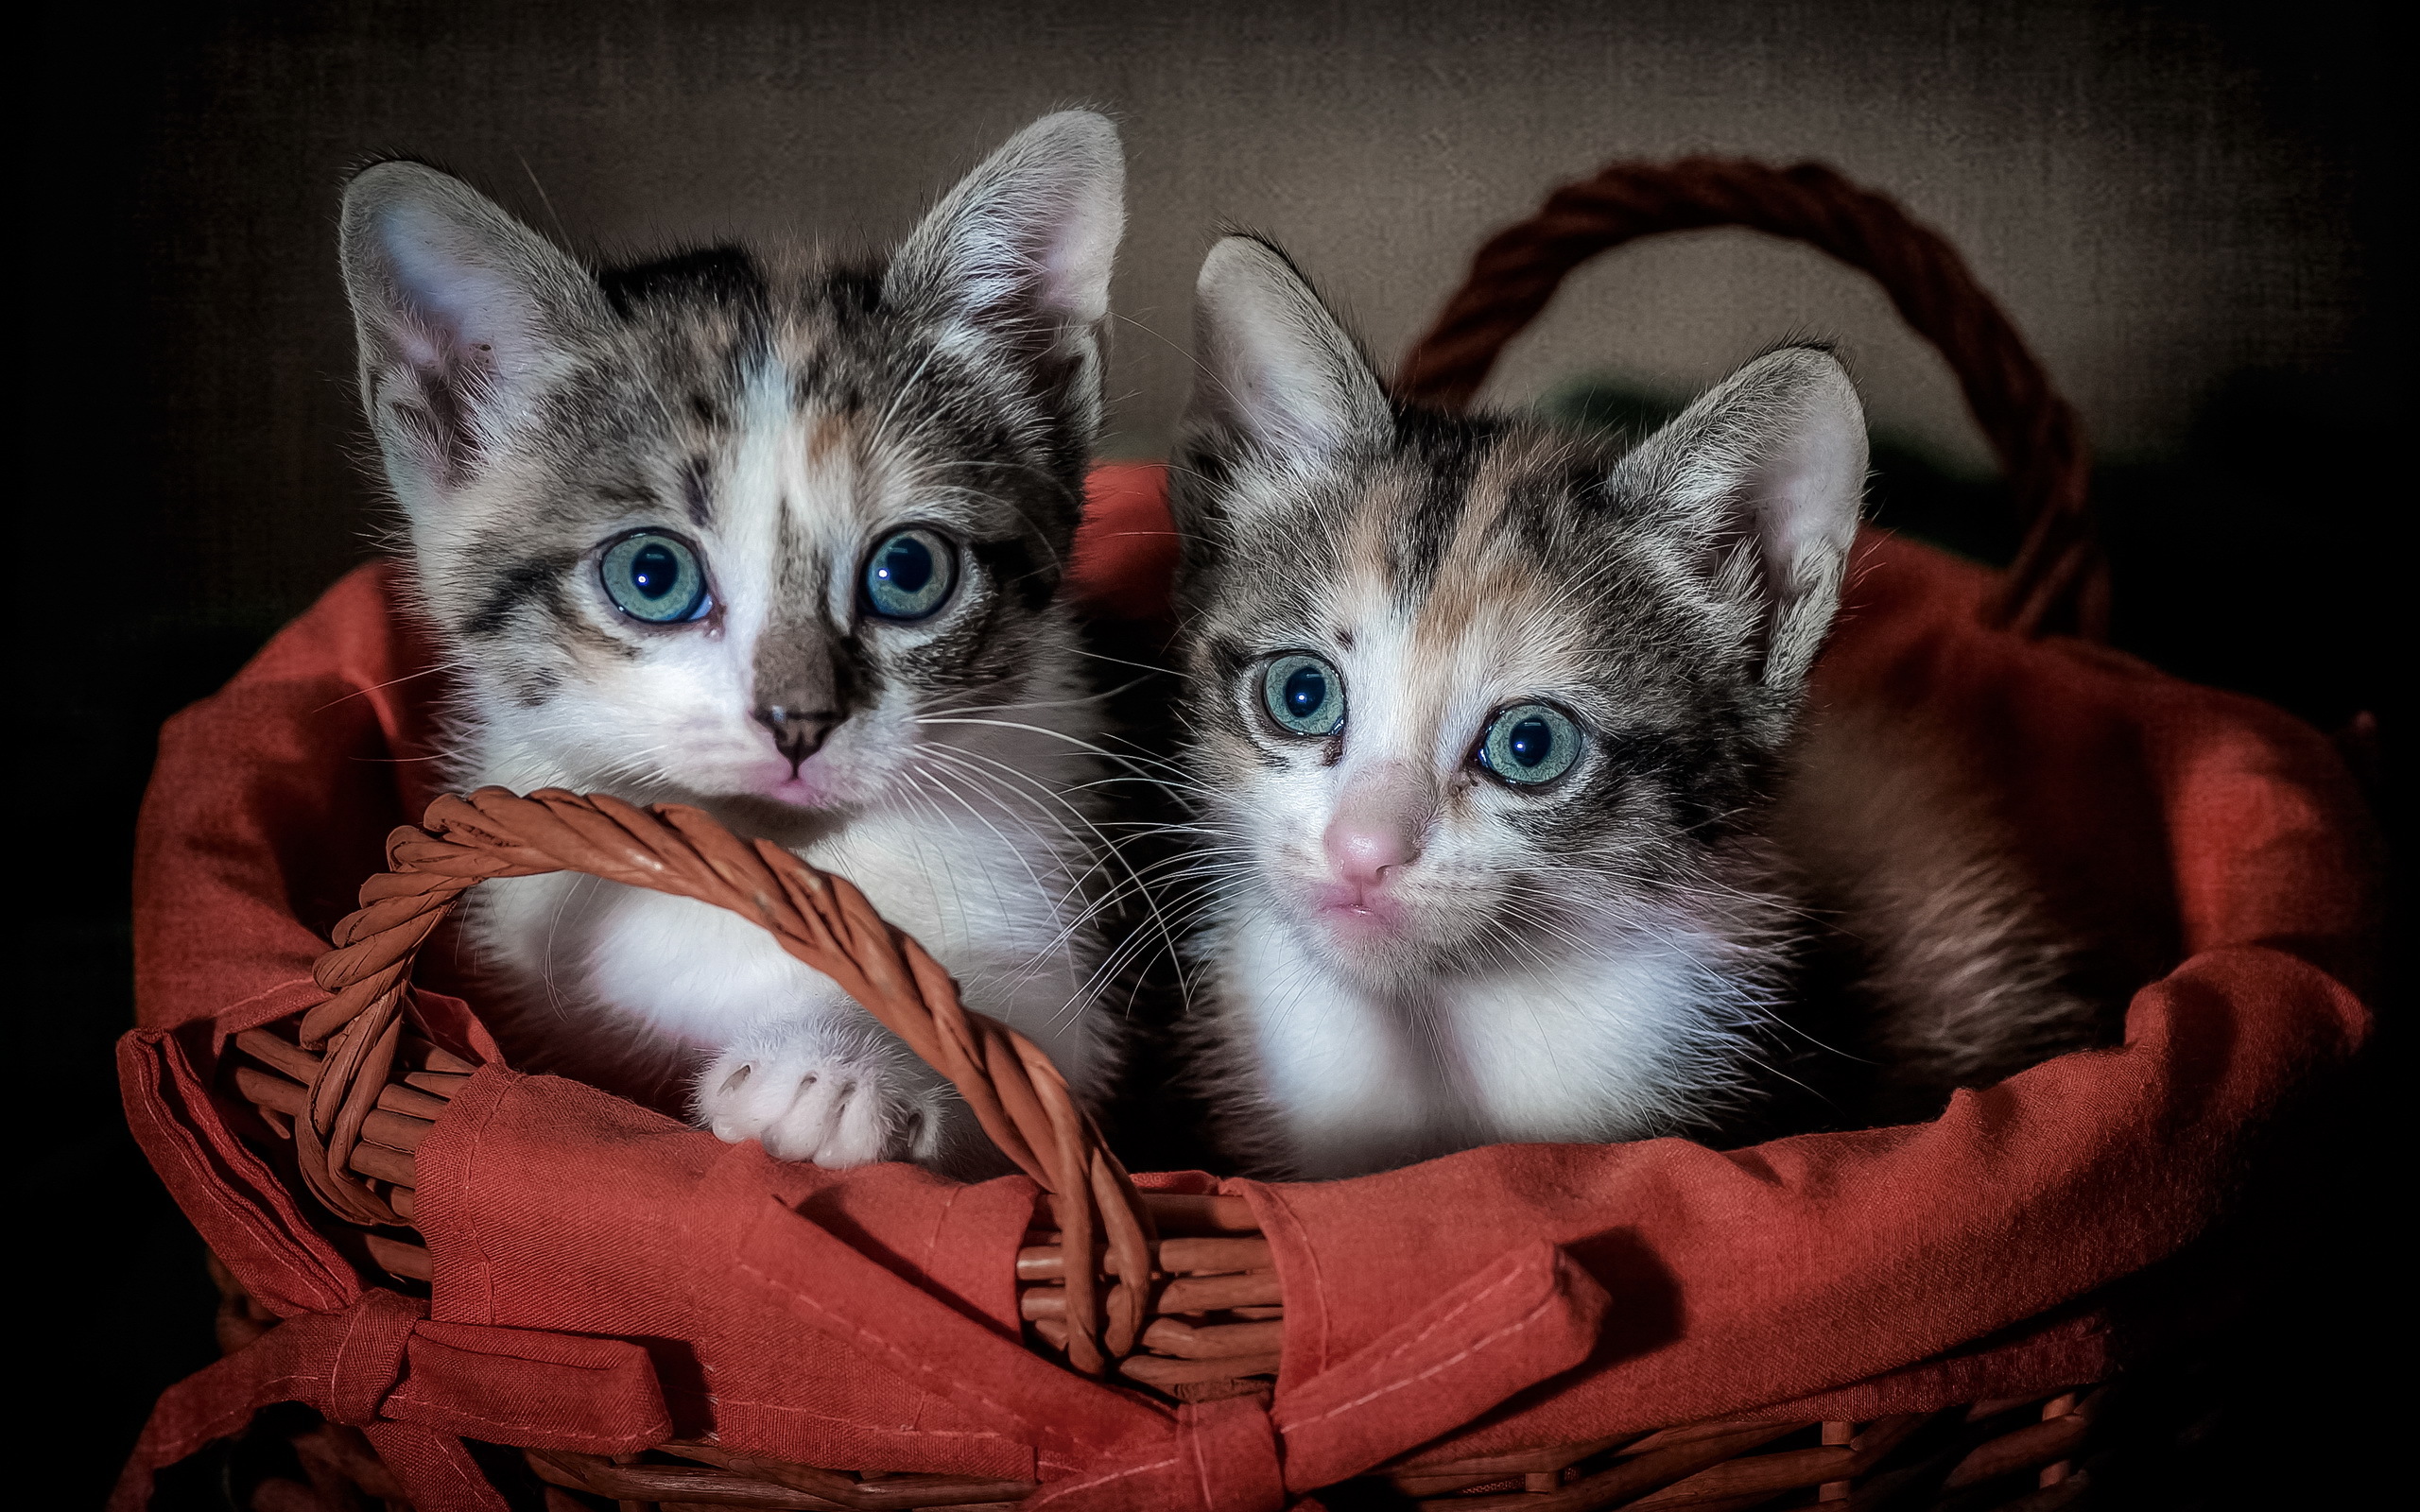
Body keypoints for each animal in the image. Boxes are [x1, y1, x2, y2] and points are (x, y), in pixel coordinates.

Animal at [336, 112, 1127, 1165]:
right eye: (652, 576)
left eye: (909, 570)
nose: (798, 722)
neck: (775, 868)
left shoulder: (1058, 967)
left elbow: (1017, 1078)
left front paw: (836, 1062)